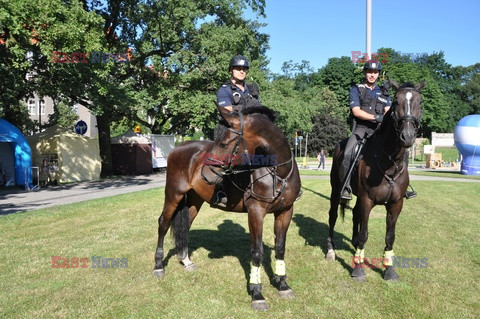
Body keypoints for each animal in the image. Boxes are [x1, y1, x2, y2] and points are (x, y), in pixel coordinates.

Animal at [154, 106, 300, 312]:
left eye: (223, 144)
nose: (205, 175)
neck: (278, 173)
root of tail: (178, 148)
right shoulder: (256, 212)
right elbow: (257, 252)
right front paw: (257, 293)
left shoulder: (286, 211)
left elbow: (280, 248)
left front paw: (283, 284)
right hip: (173, 194)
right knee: (163, 224)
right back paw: (158, 265)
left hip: (194, 201)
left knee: (184, 227)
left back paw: (186, 260)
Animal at [326, 80, 424, 282]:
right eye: (396, 102)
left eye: (420, 102)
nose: (408, 136)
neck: (389, 162)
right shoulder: (367, 200)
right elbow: (364, 234)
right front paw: (358, 269)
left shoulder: (396, 204)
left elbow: (390, 236)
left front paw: (389, 269)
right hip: (336, 191)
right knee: (333, 216)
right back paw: (331, 250)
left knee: (355, 213)